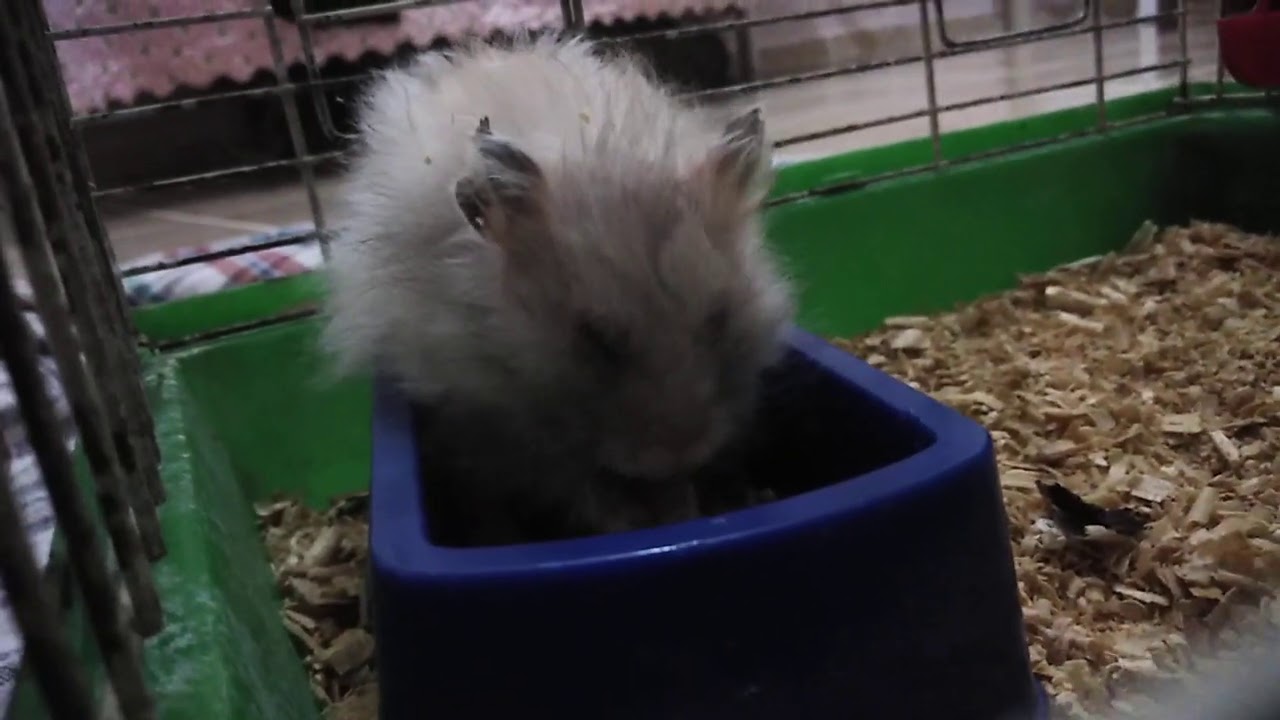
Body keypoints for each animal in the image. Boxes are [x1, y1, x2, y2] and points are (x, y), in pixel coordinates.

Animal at [321, 36, 794, 544]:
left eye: (719, 319)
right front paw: (630, 519)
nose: (678, 453)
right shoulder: (498, 424)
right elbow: (578, 487)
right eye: (593, 338)